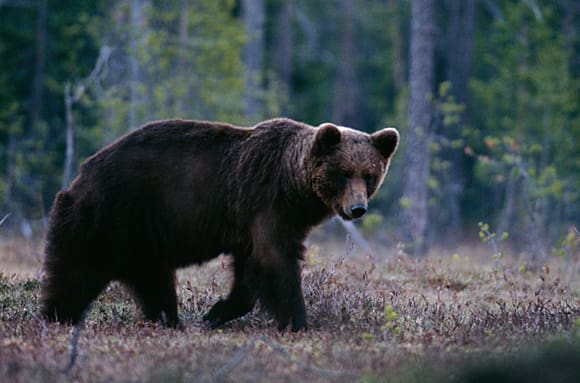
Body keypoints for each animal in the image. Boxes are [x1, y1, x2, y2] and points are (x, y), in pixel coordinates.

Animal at [40, 118, 398, 332]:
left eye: (369, 175)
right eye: (343, 173)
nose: (357, 208)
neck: (294, 188)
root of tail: (81, 174)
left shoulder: (253, 222)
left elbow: (250, 273)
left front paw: (215, 312)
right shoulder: (265, 202)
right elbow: (276, 261)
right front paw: (297, 321)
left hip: (141, 237)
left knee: (151, 279)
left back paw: (168, 319)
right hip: (112, 215)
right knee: (77, 270)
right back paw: (57, 315)